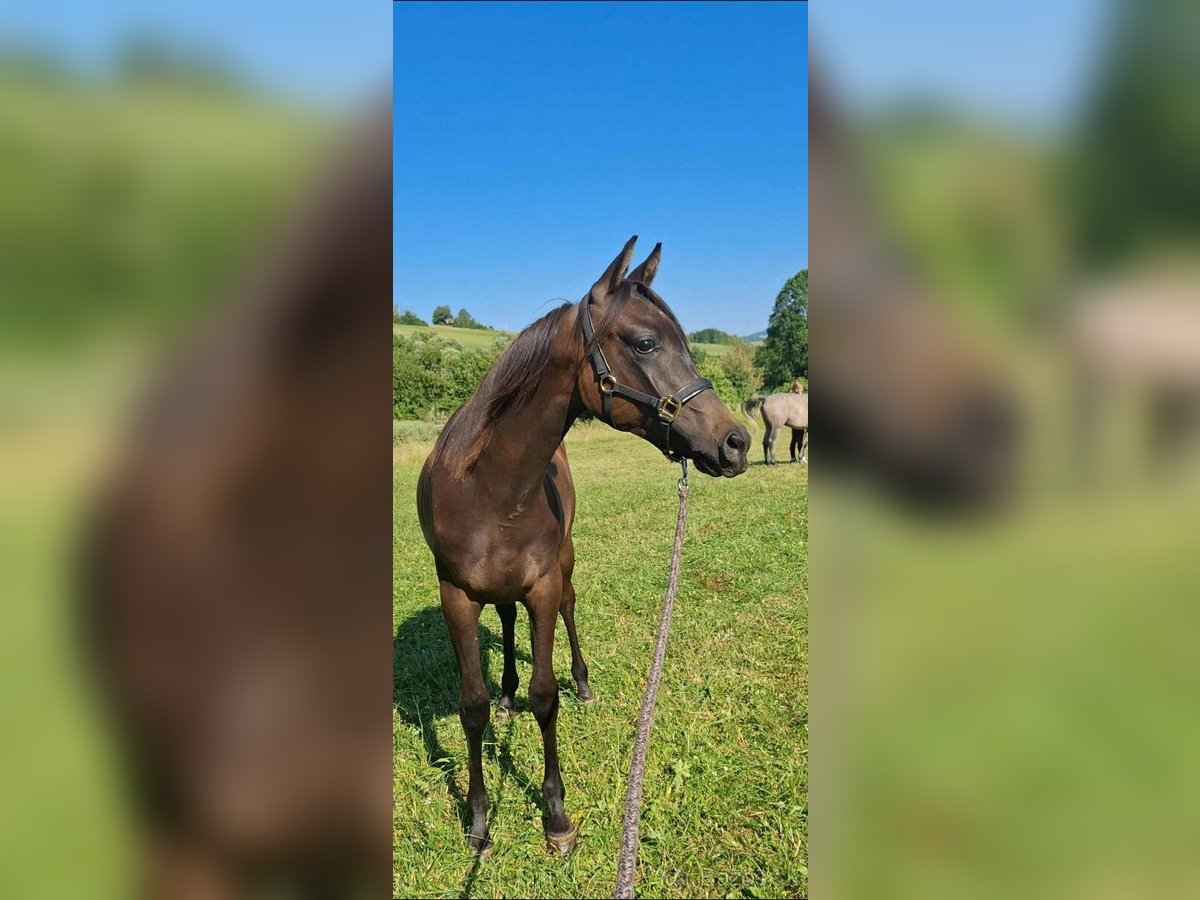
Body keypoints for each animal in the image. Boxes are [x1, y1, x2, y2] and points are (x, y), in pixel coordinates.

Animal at [416, 237, 751, 857]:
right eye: (645, 343)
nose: (735, 442)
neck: (490, 489)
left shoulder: (545, 588)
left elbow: (546, 697)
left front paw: (555, 816)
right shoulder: (456, 596)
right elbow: (471, 707)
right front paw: (478, 819)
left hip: (564, 567)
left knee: (571, 612)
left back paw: (584, 682)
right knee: (505, 621)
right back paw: (506, 693)